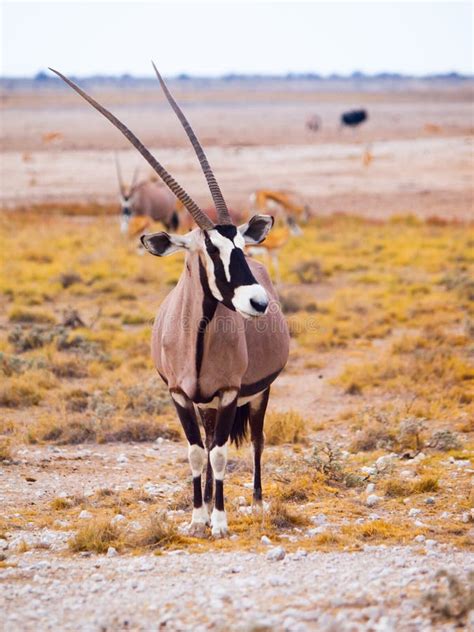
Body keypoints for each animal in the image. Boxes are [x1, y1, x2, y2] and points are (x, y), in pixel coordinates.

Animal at [50, 64, 290, 540]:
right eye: (210, 250)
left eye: (238, 244)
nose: (257, 301)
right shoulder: (180, 394)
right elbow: (197, 452)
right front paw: (197, 518)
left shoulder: (231, 392)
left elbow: (220, 454)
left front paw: (220, 522)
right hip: (208, 404)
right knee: (214, 442)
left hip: (258, 393)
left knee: (254, 439)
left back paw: (255, 503)